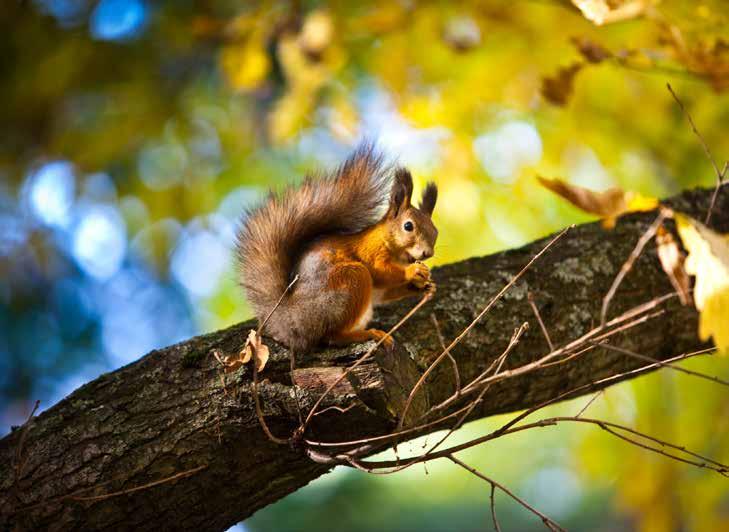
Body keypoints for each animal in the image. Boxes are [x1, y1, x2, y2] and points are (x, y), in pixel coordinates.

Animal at [236, 145, 436, 354]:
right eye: (408, 226)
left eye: (435, 231)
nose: (427, 253)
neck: (399, 254)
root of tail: (294, 322)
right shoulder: (370, 251)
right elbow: (380, 271)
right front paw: (413, 271)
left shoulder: (380, 290)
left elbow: (384, 294)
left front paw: (424, 285)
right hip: (349, 280)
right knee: (331, 336)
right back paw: (367, 334)